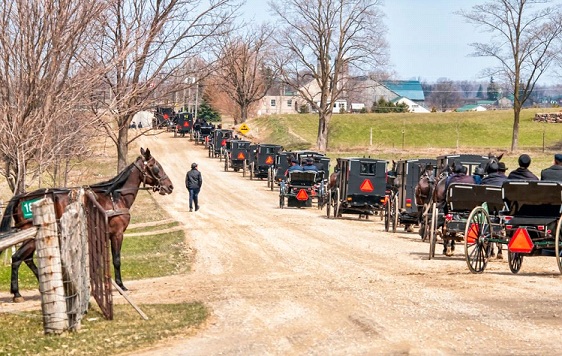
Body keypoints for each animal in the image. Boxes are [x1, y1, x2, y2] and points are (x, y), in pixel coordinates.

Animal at [0, 147, 173, 300]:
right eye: (156, 167)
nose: (169, 186)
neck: (114, 197)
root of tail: (22, 197)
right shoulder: (117, 234)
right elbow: (116, 259)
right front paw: (120, 285)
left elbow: (97, 261)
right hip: (31, 236)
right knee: (17, 258)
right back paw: (17, 293)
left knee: (27, 258)